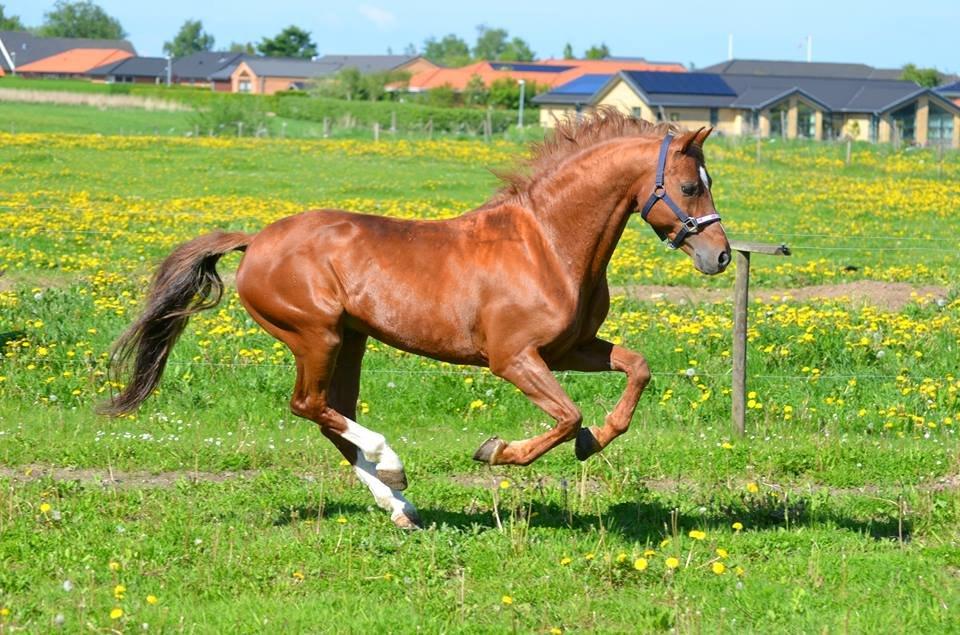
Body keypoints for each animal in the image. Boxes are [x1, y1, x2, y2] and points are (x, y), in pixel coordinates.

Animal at [102, 110, 731, 529]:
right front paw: (497, 450)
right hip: (315, 335)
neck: (547, 245)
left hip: (350, 340)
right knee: (310, 407)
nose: (720, 256)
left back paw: (400, 507)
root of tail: (255, 241)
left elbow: (636, 369)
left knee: (331, 417)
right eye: (689, 185)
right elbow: (564, 415)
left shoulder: (572, 349)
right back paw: (395, 470)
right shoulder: (513, 358)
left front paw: (592, 442)